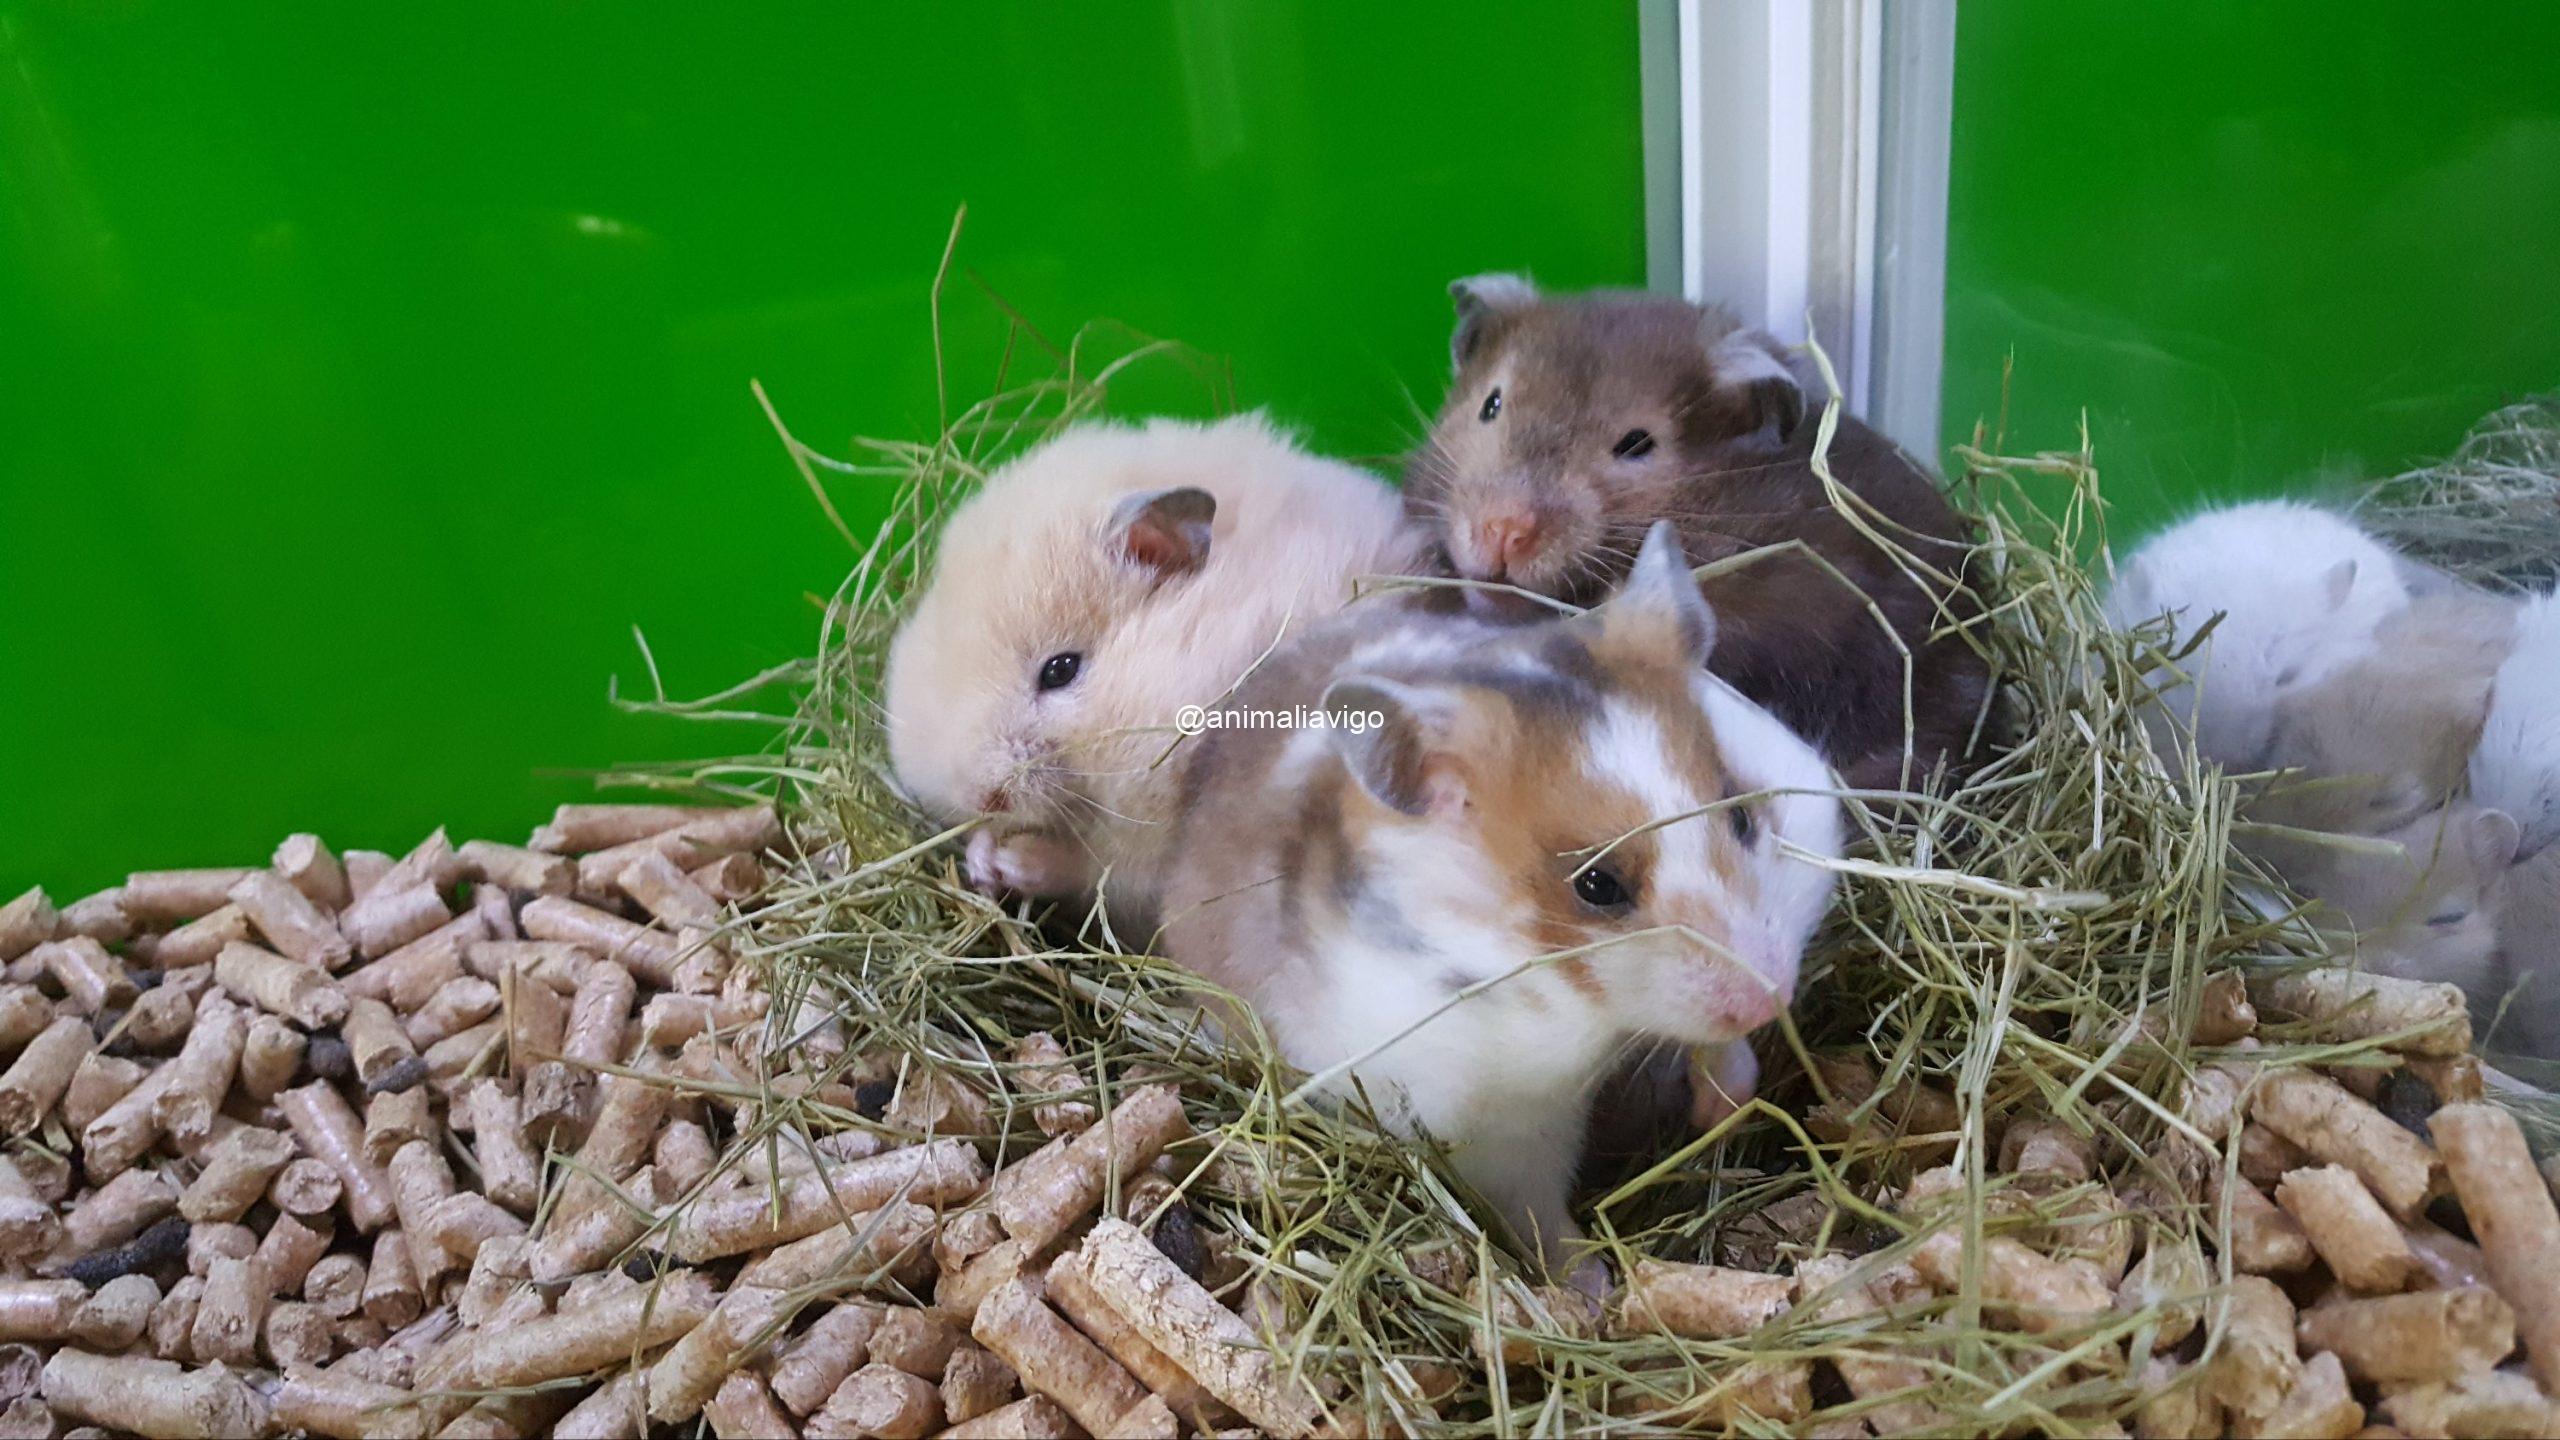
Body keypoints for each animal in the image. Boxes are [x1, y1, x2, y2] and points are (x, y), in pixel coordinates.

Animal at [1158, 523, 1842, 1270]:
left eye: (1742, 815)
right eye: (1596, 885)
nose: (1770, 998)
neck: (1588, 1013)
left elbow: (1716, 1047)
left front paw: (1728, 1101)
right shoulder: (1500, 1131)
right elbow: (1539, 1212)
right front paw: (1590, 1281)